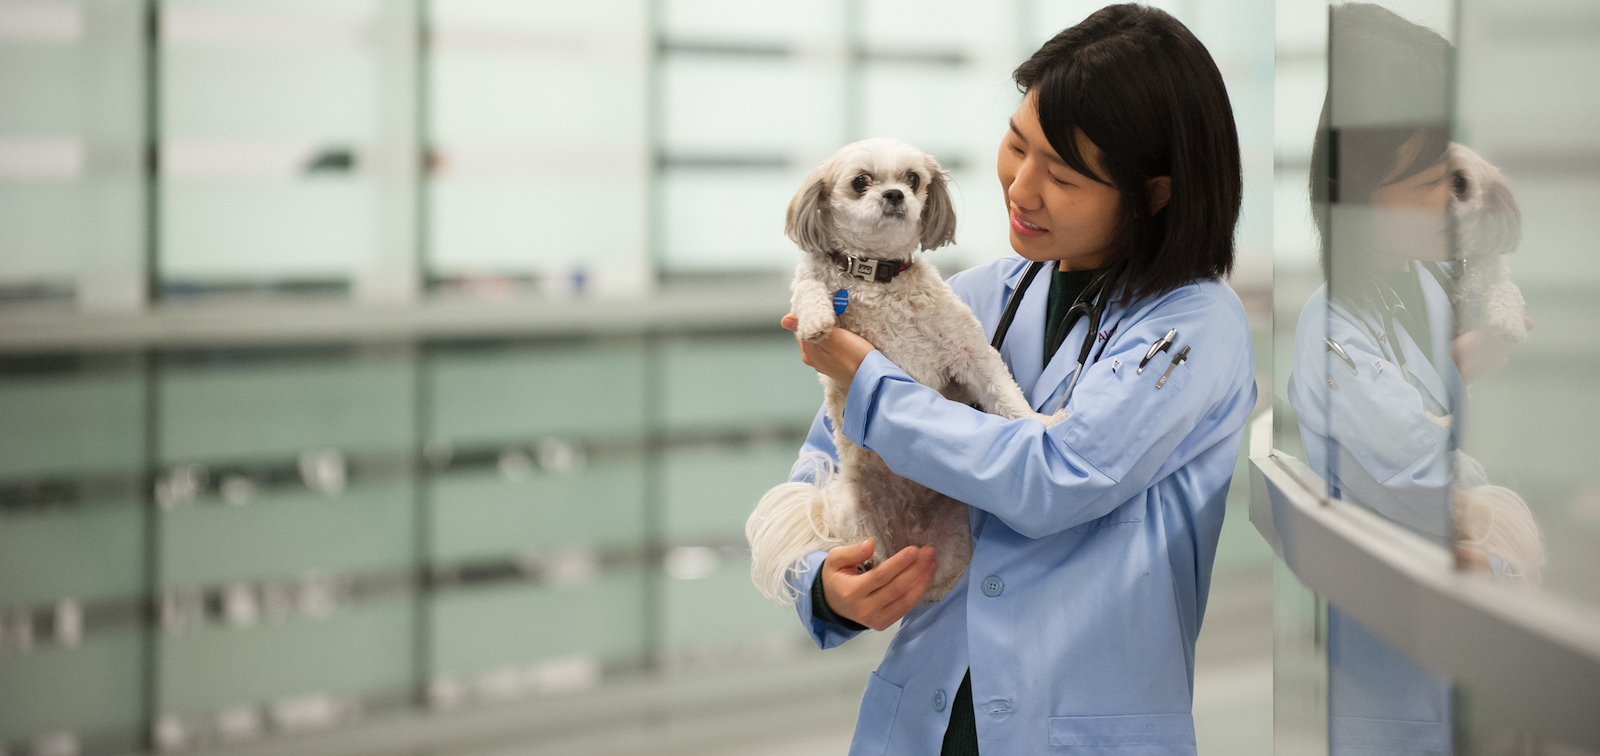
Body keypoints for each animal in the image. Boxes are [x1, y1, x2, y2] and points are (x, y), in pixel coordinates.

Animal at [745, 138, 1062, 605]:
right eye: (861, 181)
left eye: (913, 179)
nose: (895, 194)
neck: (878, 276)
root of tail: (906, 532)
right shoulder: (810, 280)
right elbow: (809, 288)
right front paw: (817, 319)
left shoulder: (967, 348)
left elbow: (1004, 393)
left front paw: (1042, 422)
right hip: (853, 508)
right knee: (868, 550)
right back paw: (869, 564)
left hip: (952, 534)